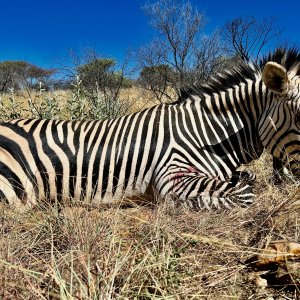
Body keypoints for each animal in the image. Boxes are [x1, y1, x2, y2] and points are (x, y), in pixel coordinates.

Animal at [0, 48, 298, 210]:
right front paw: (181, 205)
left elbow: (247, 178)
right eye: (298, 115)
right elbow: (244, 193)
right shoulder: (172, 174)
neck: (206, 132)